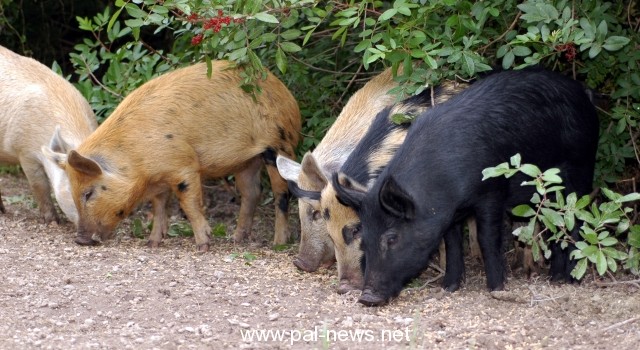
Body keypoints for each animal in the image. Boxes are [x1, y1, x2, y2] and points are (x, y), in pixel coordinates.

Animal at [336, 67, 600, 304]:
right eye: (364, 238)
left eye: (391, 238)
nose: (367, 298)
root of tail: (583, 92)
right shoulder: (449, 214)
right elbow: (452, 243)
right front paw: (449, 287)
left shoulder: (491, 192)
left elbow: (487, 238)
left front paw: (496, 288)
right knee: (556, 222)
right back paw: (555, 278)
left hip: (582, 167)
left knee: (576, 220)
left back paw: (570, 280)